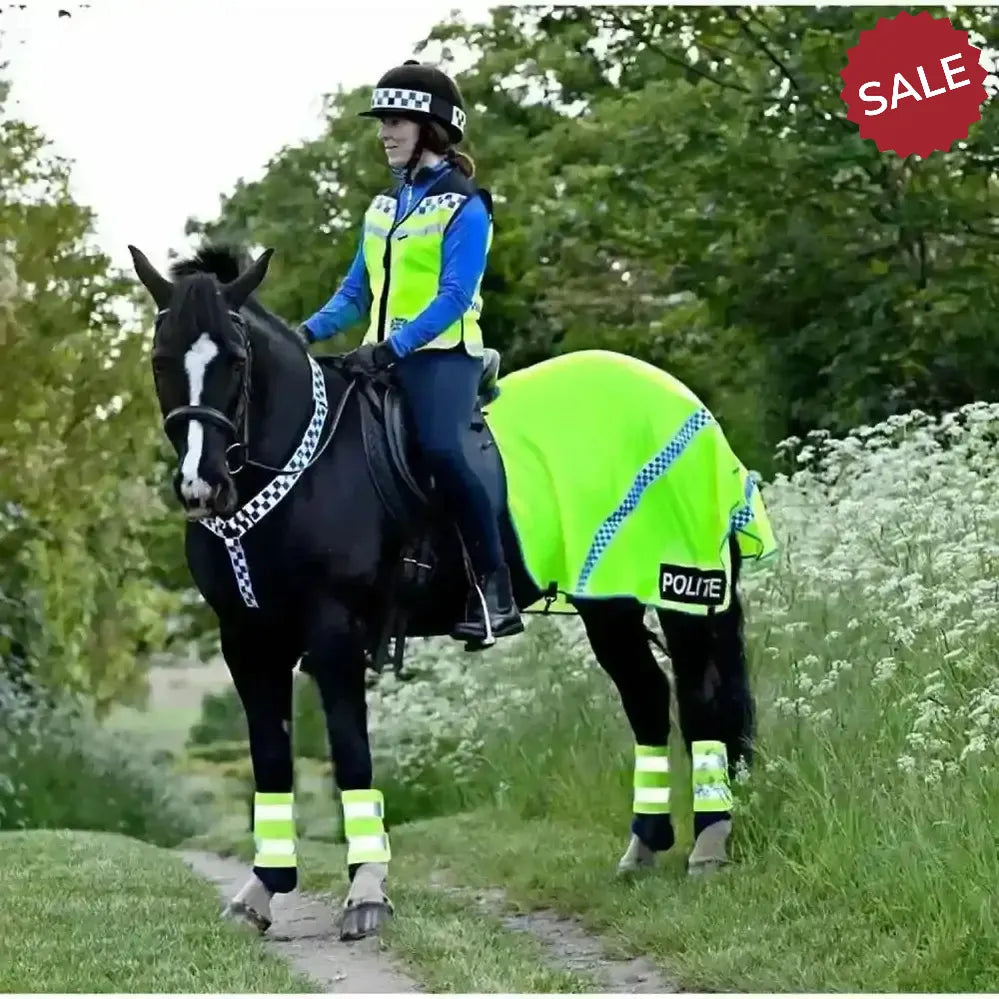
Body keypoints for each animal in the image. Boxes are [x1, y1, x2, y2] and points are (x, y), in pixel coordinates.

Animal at [128, 242, 762, 941]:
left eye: (236, 362)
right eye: (161, 361)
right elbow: (269, 760)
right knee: (648, 699)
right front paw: (260, 891)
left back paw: (709, 846)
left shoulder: (334, 636)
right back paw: (643, 850)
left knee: (703, 702)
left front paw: (367, 894)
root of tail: (683, 400)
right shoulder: (246, 640)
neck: (303, 467)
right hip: (610, 603)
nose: (200, 486)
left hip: (682, 591)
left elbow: (351, 755)